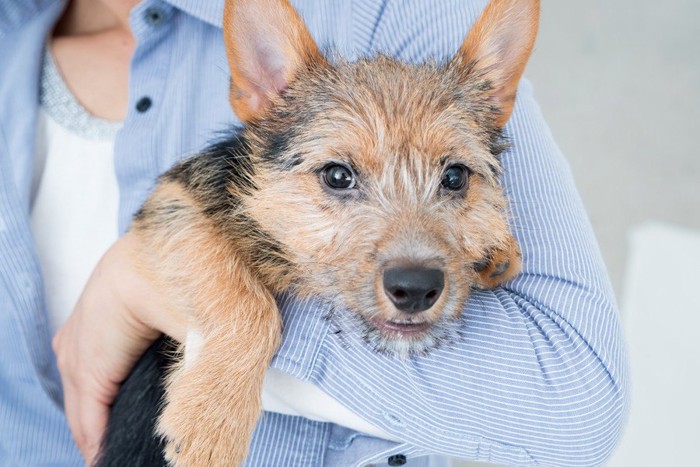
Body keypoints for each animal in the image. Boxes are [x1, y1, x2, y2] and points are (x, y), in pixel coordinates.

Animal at [95, 0, 540, 466]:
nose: (416, 288)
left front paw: (497, 250)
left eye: (455, 177)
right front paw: (212, 421)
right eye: (337, 175)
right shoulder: (174, 202)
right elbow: (247, 299)